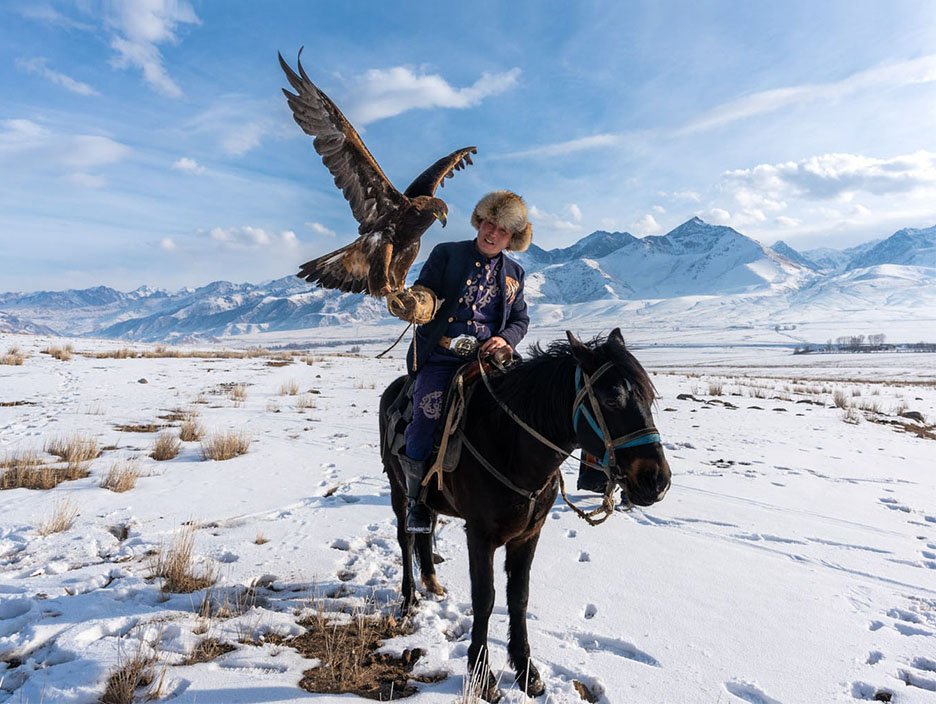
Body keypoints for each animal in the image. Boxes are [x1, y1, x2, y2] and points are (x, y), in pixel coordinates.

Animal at [378, 328, 671, 701]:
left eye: (648, 397)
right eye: (611, 398)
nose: (656, 481)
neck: (512, 445)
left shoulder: (529, 534)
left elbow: (519, 598)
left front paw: (527, 672)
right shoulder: (480, 535)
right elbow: (485, 598)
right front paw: (483, 675)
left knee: (425, 531)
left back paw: (432, 581)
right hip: (399, 489)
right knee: (406, 537)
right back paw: (409, 598)